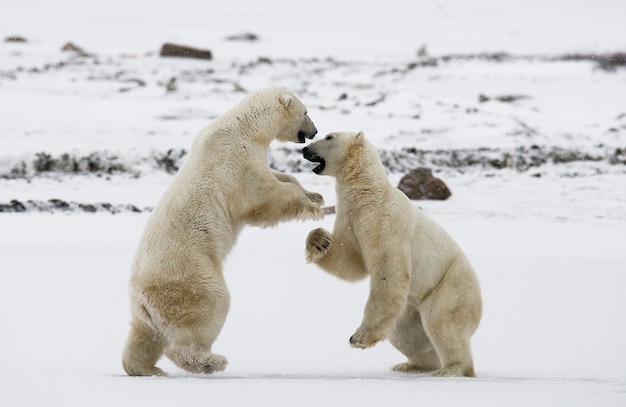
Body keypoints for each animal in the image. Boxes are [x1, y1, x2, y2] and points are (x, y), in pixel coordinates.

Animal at [123, 88, 324, 376]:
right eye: (306, 112)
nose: (315, 131)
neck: (245, 127)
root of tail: (140, 297)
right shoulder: (237, 161)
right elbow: (263, 196)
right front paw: (310, 204)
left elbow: (281, 177)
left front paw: (314, 194)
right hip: (191, 277)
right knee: (208, 308)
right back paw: (209, 361)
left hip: (144, 313)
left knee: (144, 337)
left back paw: (147, 369)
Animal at [304, 132, 480, 378]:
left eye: (329, 136)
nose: (305, 149)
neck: (369, 195)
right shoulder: (350, 219)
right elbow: (349, 261)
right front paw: (320, 240)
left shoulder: (386, 221)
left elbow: (388, 269)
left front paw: (359, 337)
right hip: (411, 308)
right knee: (406, 333)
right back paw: (411, 365)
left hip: (450, 286)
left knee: (443, 323)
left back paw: (451, 369)